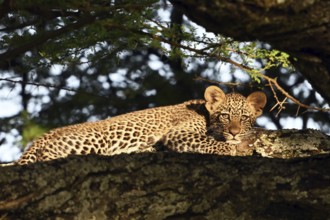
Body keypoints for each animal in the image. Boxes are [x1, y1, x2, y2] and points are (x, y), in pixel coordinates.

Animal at [15, 86, 266, 165]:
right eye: (224, 116)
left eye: (244, 117)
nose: (234, 133)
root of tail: (42, 138)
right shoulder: (178, 132)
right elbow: (211, 142)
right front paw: (235, 148)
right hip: (91, 141)